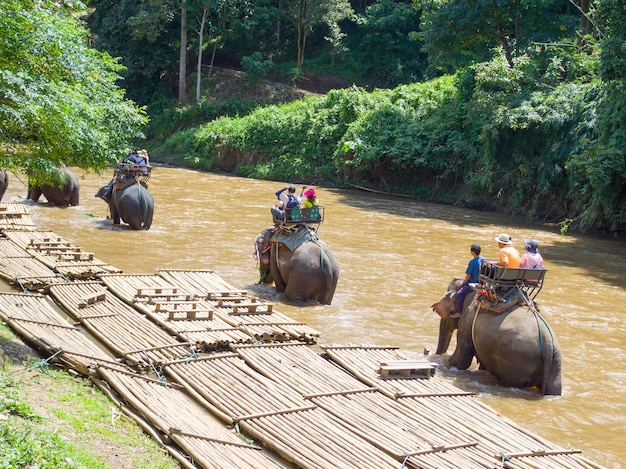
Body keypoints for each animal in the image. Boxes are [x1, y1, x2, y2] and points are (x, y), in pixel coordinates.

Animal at [428, 278, 560, 394]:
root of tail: (548, 344)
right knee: (554, 387)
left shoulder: (467, 320)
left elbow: (461, 361)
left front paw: (443, 363)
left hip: (518, 360)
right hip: (555, 360)